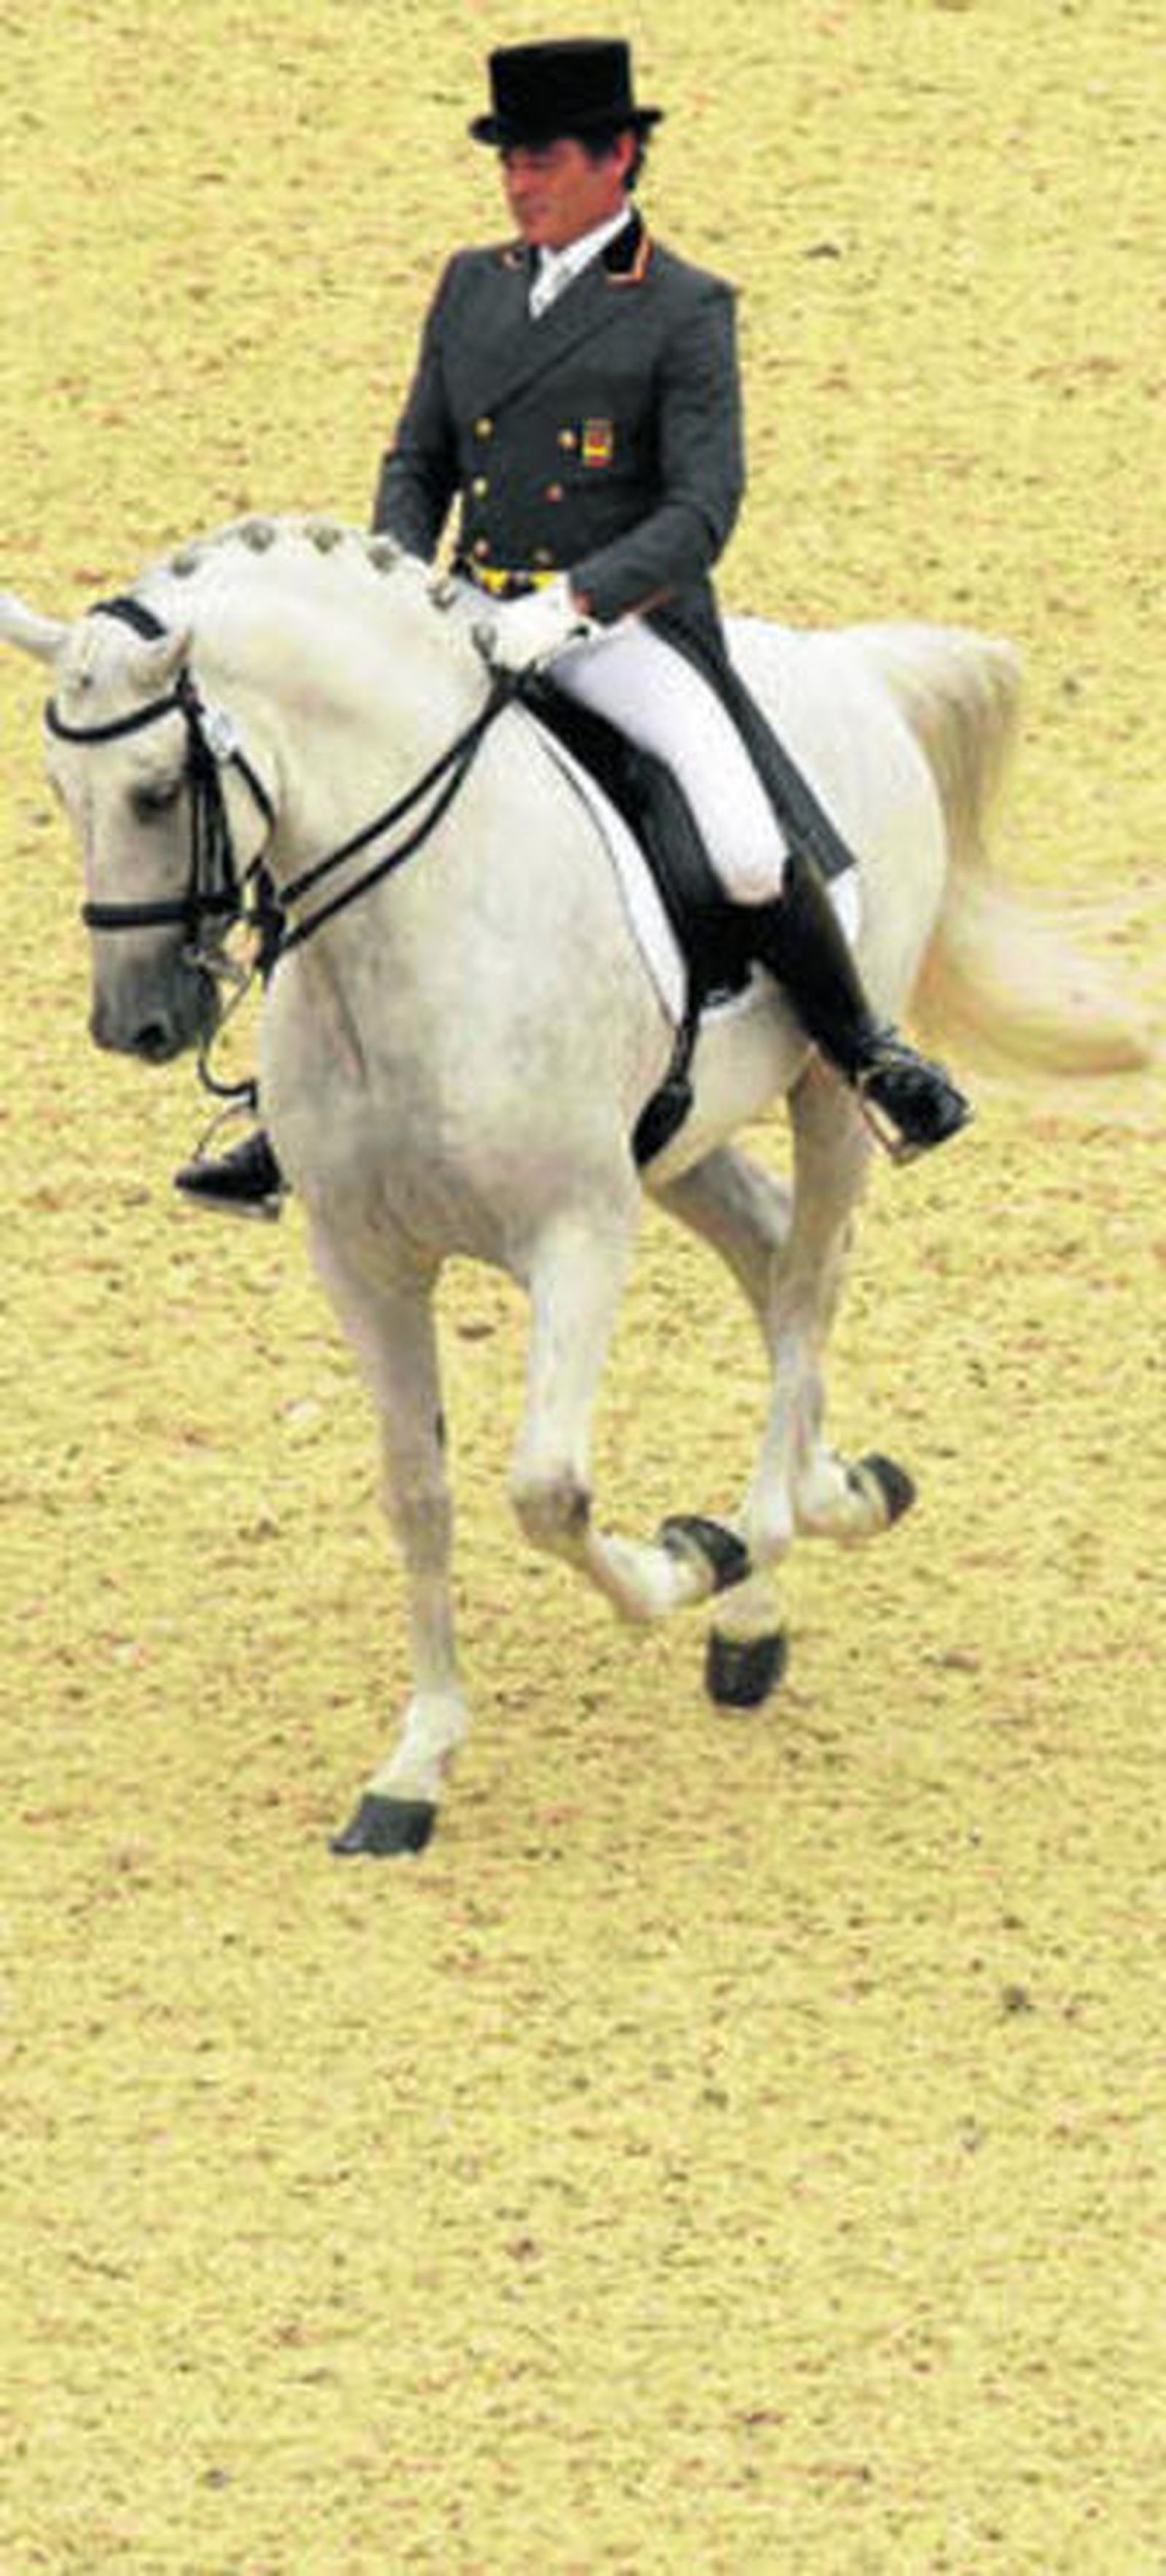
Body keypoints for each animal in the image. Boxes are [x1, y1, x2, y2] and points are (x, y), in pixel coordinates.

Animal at [0, 519, 1149, 1855]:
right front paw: (415, 1766)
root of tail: (848, 668)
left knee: (810, 1279)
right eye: (57, 794)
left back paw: (760, 1565)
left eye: (154, 790)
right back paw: (823, 1509)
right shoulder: (363, 1257)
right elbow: (420, 1495)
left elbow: (548, 1490)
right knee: (769, 1253)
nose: (134, 1024)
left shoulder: (579, 1233)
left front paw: (687, 1562)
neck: (411, 936)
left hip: (825, 1089)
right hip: (679, 1138)